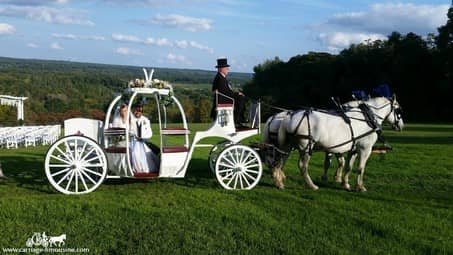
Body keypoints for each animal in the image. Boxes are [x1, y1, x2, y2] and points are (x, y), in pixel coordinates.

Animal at [264, 96, 402, 191]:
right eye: (398, 110)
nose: (400, 126)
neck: (367, 118)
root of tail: (289, 117)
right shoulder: (365, 148)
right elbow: (360, 168)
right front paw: (359, 186)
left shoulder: (352, 149)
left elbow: (347, 166)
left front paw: (345, 183)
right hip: (306, 147)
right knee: (302, 166)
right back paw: (311, 185)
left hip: (287, 146)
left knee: (279, 161)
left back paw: (279, 182)